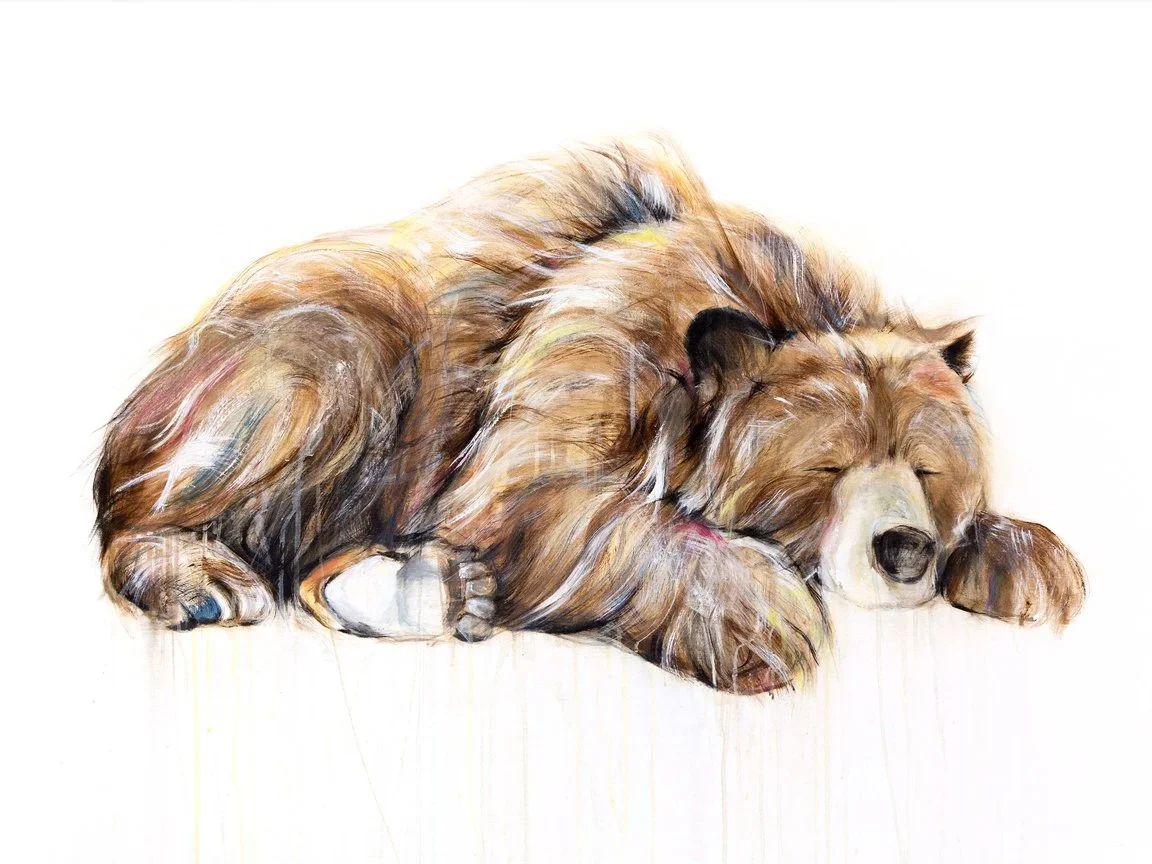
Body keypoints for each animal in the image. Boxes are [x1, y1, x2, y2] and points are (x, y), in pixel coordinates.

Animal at [95, 136, 1086, 694]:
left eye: (927, 467)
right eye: (825, 467)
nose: (903, 548)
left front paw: (1029, 562)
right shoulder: (583, 359)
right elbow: (545, 504)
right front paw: (760, 613)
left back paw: (426, 588)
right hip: (334, 358)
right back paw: (202, 573)